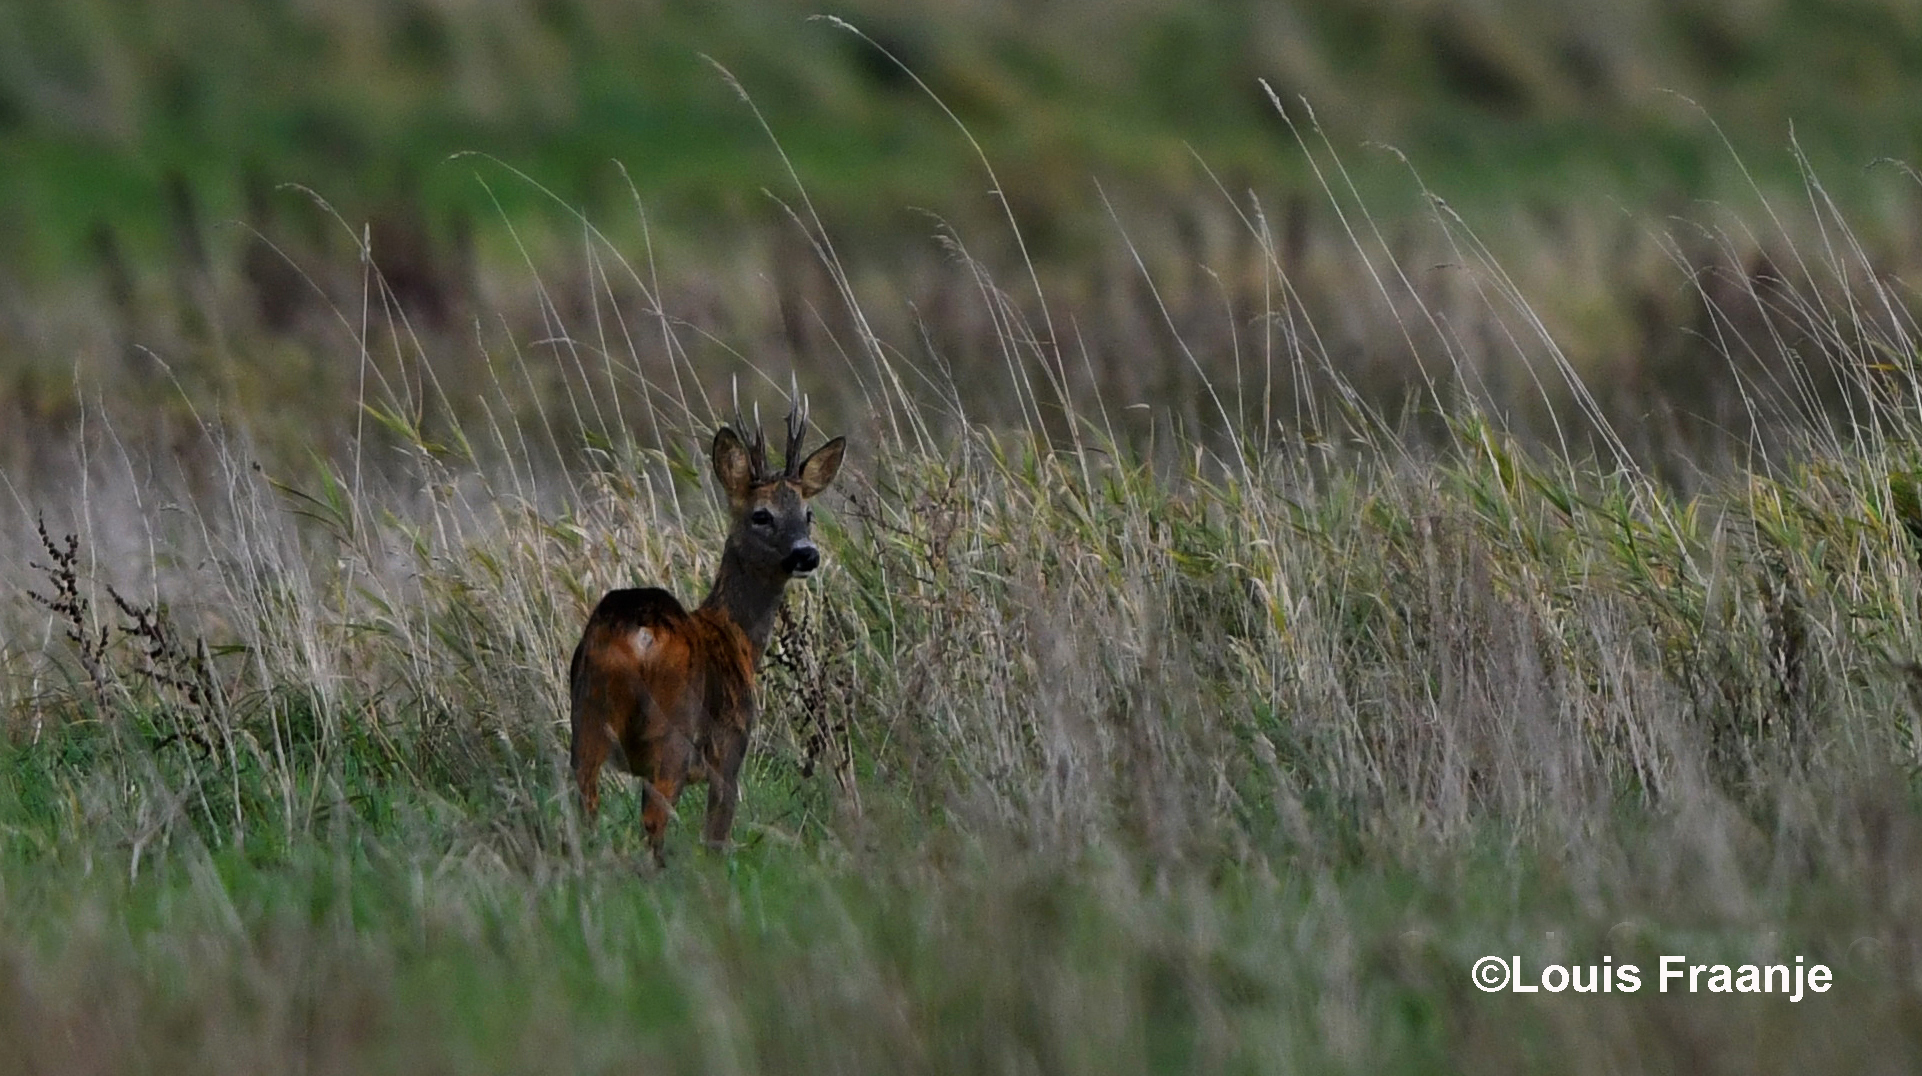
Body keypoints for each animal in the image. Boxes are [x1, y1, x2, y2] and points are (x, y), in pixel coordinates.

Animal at [565, 401, 845, 864]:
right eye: (761, 515)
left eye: (808, 514)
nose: (806, 554)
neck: (738, 638)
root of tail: (638, 632)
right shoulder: (732, 742)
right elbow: (717, 832)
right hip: (673, 730)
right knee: (655, 819)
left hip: (586, 714)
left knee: (584, 804)